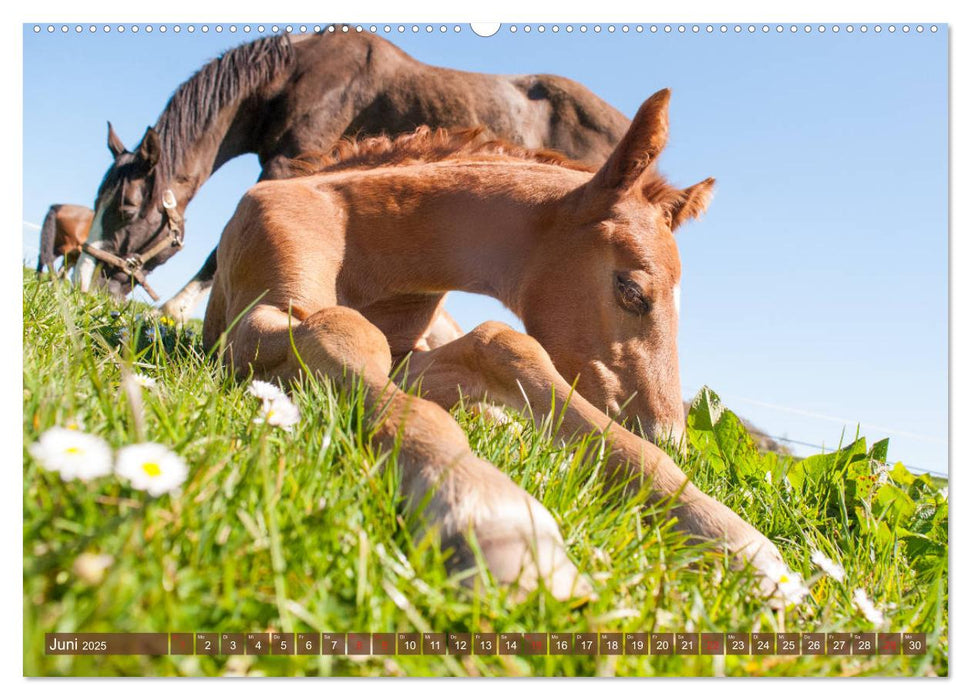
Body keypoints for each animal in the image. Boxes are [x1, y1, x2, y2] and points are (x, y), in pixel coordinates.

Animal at [79, 27, 636, 320]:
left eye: (126, 207)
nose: (83, 283)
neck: (295, 76)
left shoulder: (288, 162)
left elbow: (219, 247)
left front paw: (172, 310)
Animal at [201, 90, 784, 600]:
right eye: (632, 291)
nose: (669, 436)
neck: (364, 240)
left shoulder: (414, 355)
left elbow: (502, 343)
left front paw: (726, 534)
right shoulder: (249, 330)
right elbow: (346, 333)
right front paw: (493, 516)